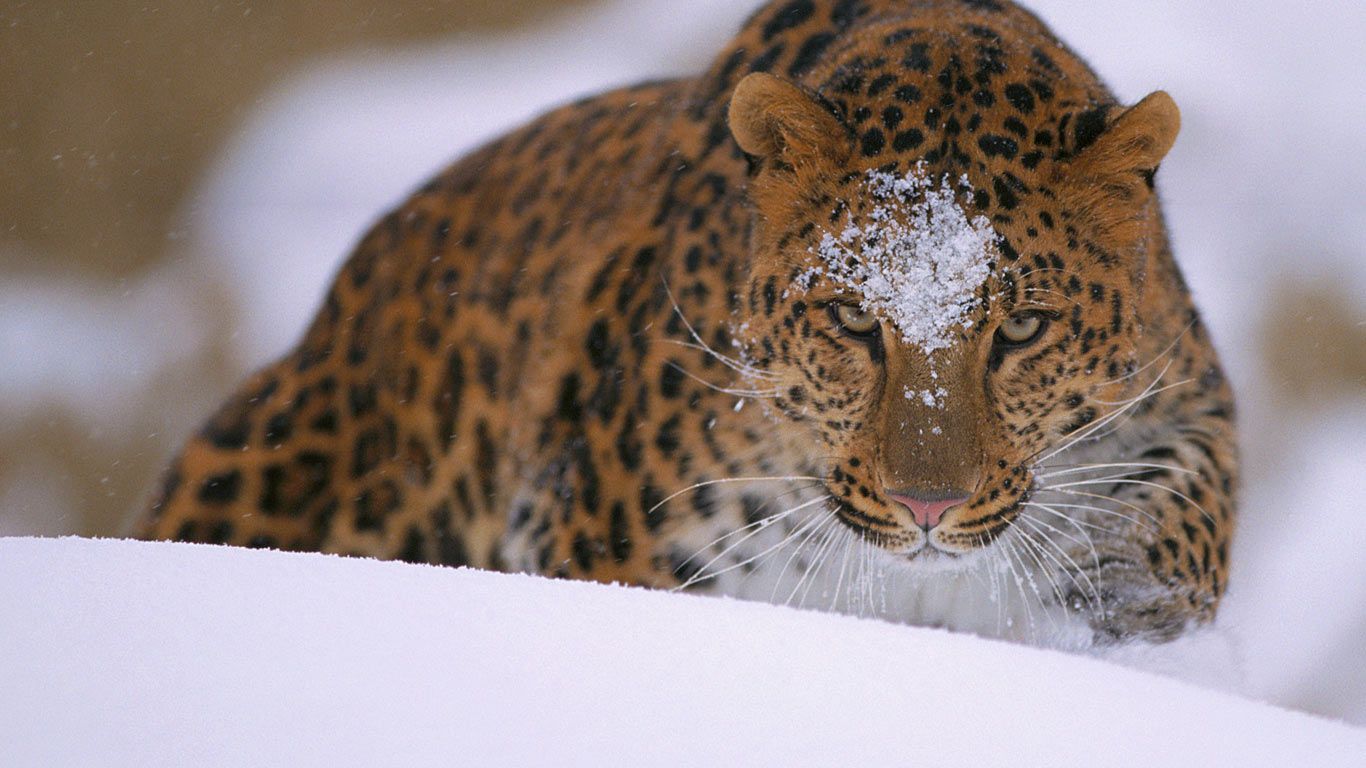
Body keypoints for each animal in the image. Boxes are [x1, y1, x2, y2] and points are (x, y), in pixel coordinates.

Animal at [141, 0, 1240, 645]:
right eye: (852, 319)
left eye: (1019, 332)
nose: (926, 506)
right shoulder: (606, 543)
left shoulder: (1185, 385)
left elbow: (1192, 507)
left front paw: (1124, 586)